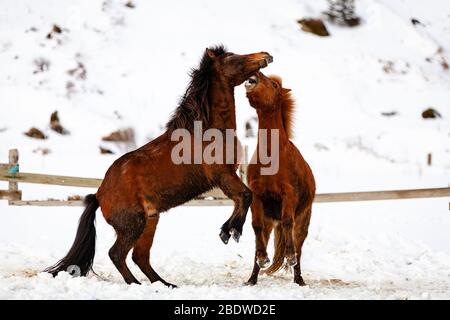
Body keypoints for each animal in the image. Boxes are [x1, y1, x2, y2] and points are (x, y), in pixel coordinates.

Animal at [45, 45, 272, 288]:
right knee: (117, 254)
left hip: (150, 222)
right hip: (133, 225)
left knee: (139, 256)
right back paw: (136, 284)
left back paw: (166, 284)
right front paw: (230, 231)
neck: (207, 132)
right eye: (232, 57)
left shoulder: (227, 177)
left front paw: (228, 230)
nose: (265, 55)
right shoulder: (223, 176)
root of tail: (99, 195)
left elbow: (243, 198)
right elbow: (246, 196)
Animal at [244, 72, 314, 284]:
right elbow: (256, 226)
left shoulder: (288, 195)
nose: (255, 76)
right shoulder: (257, 196)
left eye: (274, 85)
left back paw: (299, 279)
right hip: (269, 222)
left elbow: (287, 221)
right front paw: (262, 259)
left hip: (303, 222)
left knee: (298, 247)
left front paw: (289, 257)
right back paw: (252, 278)